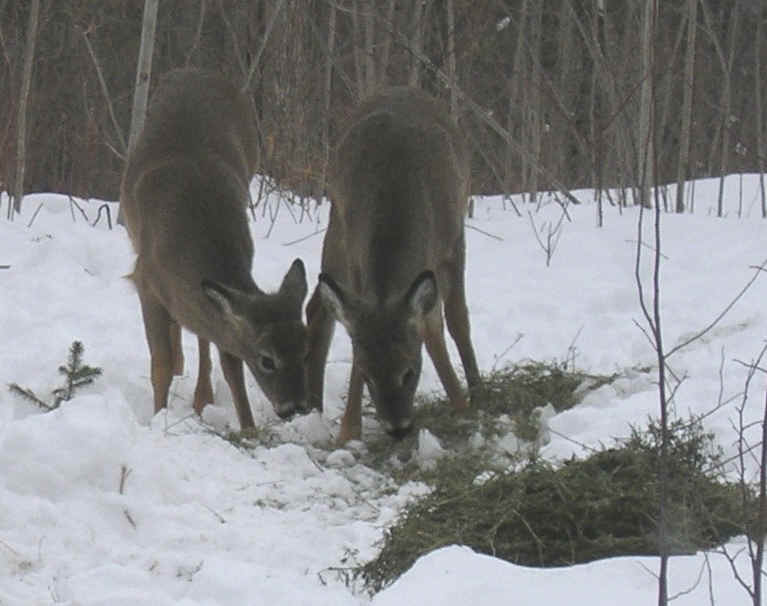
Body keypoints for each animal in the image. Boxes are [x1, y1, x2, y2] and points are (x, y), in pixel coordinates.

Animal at [121, 69, 309, 430]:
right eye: (266, 359)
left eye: (305, 347)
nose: (296, 408)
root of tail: (198, 72)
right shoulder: (145, 279)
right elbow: (160, 364)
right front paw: (158, 416)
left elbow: (230, 363)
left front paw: (248, 428)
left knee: (201, 334)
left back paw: (202, 395)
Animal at [306, 86, 481, 443]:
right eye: (368, 375)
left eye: (409, 372)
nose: (398, 428)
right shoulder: (355, 252)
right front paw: (349, 430)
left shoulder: (452, 242)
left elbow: (455, 321)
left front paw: (471, 399)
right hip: (336, 229)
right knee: (319, 306)